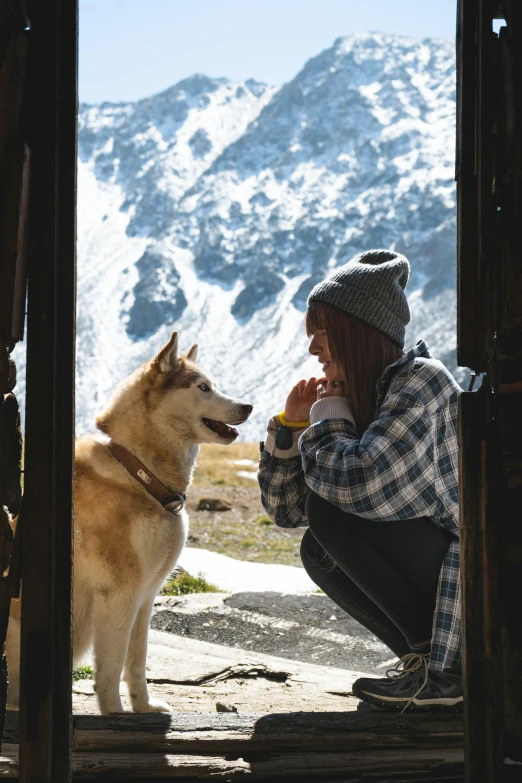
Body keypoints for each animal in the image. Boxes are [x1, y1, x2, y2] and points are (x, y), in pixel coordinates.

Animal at [6, 334, 252, 712]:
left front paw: (144, 709)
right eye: (204, 387)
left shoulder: (146, 595)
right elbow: (112, 665)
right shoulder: (120, 593)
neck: (139, 473)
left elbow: (137, 660)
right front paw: (115, 715)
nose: (248, 407)